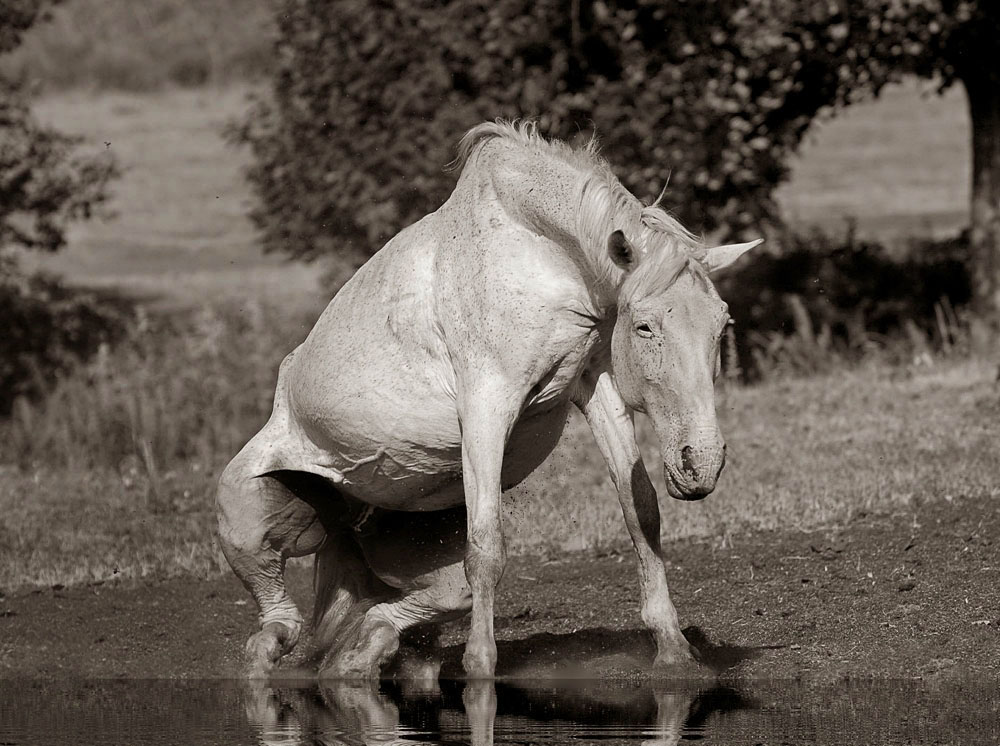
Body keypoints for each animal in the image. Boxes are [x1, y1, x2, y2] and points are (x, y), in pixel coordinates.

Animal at [213, 119, 756, 676]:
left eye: (722, 324)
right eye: (645, 326)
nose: (700, 464)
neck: (539, 253)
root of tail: (352, 515)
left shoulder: (595, 386)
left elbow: (641, 511)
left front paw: (674, 649)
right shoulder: (486, 405)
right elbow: (487, 547)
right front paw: (479, 665)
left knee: (404, 611)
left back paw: (365, 652)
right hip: (246, 514)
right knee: (279, 627)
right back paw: (275, 654)